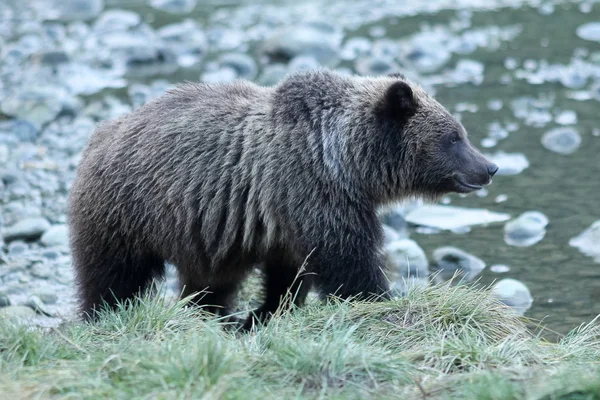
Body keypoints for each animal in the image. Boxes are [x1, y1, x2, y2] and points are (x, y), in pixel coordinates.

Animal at [67, 69, 496, 330]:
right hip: (126, 207)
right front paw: (380, 300)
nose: (489, 167)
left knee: (210, 281)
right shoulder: (311, 191)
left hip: (204, 231)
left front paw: (263, 315)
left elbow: (289, 275)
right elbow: (348, 260)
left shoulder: (283, 219)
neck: (346, 162)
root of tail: (101, 132)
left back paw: (211, 315)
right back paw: (102, 315)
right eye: (453, 137)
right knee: (112, 273)